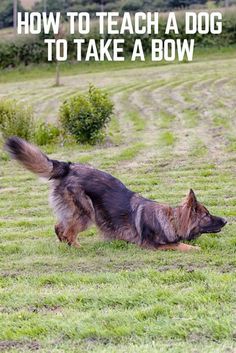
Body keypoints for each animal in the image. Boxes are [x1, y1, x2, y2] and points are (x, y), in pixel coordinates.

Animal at [5, 137, 227, 250]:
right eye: (207, 215)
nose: (226, 220)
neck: (171, 220)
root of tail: (69, 167)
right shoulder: (153, 246)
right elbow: (183, 246)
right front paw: (197, 249)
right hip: (87, 214)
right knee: (68, 231)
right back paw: (78, 248)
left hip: (76, 213)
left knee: (59, 227)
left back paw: (67, 246)